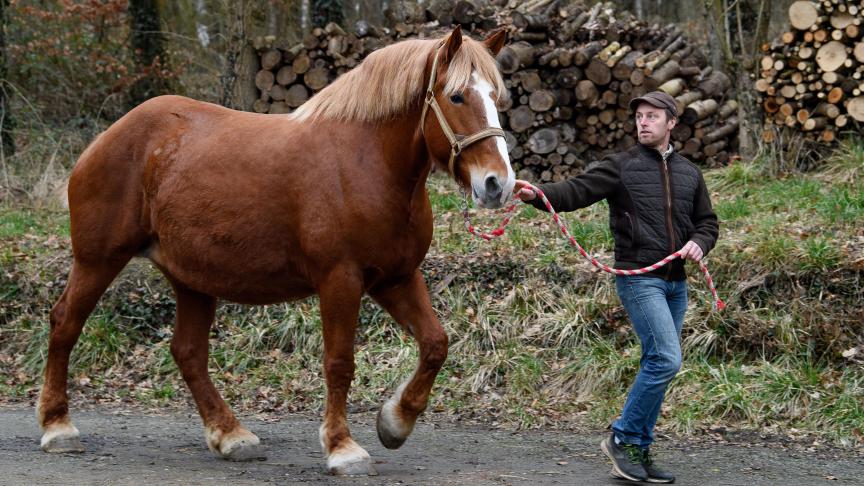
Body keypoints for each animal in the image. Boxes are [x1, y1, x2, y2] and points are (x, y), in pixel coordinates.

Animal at [37, 25, 513, 475]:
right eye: (456, 96)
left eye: (497, 98)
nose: (498, 184)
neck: (364, 162)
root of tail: (106, 138)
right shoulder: (341, 280)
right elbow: (339, 362)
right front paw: (342, 448)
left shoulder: (396, 277)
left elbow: (435, 344)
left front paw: (394, 423)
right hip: (98, 260)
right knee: (65, 323)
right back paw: (58, 427)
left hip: (191, 278)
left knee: (188, 353)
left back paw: (231, 435)